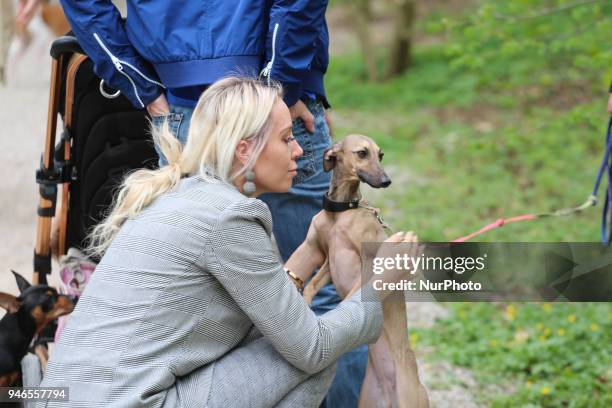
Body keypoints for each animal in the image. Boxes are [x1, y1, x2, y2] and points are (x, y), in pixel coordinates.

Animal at [284, 135, 428, 408]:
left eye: (380, 155)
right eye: (362, 153)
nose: (386, 181)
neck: (342, 212)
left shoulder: (368, 267)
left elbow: (350, 297)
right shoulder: (328, 260)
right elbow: (311, 284)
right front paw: (305, 305)